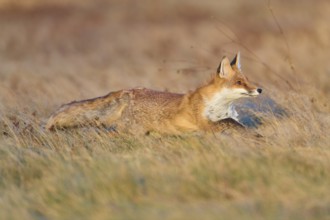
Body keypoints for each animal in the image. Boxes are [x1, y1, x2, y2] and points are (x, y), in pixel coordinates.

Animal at [46, 52, 262, 135]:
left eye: (248, 79)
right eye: (239, 82)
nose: (259, 89)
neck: (220, 106)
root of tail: (129, 90)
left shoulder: (225, 118)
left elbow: (237, 123)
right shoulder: (204, 123)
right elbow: (230, 122)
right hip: (133, 131)